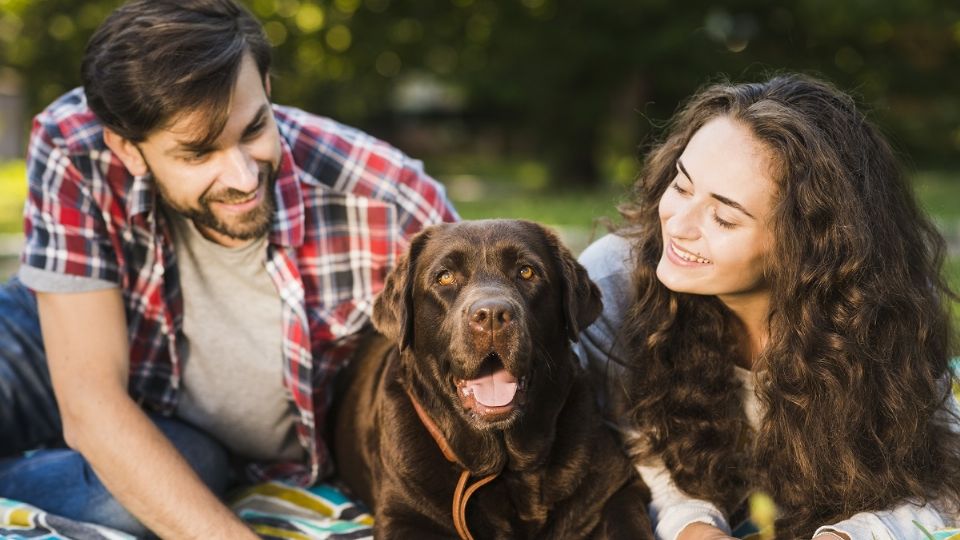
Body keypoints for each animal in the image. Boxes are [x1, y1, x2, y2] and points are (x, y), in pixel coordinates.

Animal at [330, 220, 652, 540]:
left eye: (526, 271)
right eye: (445, 277)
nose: (492, 314)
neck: (509, 467)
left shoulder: (616, 488)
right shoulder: (403, 515)